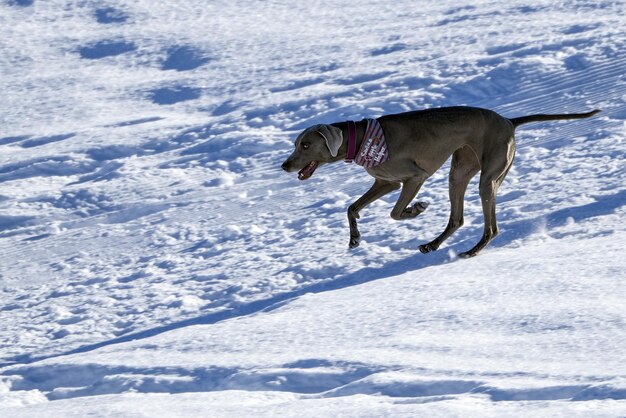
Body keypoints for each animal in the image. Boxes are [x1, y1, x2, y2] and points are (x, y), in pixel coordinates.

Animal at [280, 107, 596, 258]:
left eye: (305, 145)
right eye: (296, 144)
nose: (284, 165)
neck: (360, 140)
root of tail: (508, 121)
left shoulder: (414, 177)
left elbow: (395, 213)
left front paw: (416, 209)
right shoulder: (386, 183)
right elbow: (351, 208)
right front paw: (354, 238)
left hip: (488, 178)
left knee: (491, 227)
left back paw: (471, 251)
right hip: (459, 171)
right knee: (457, 218)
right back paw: (432, 245)